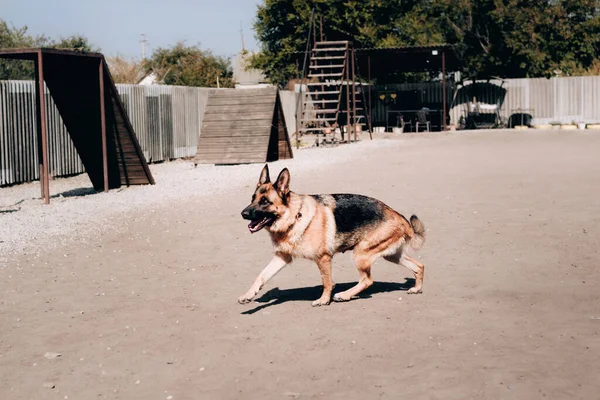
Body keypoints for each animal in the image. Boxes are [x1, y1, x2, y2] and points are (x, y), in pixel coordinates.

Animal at [239, 165, 426, 306]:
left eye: (265, 202)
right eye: (253, 198)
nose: (243, 213)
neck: (294, 216)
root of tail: (399, 217)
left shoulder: (323, 258)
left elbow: (327, 282)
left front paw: (323, 300)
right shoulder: (282, 257)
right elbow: (262, 275)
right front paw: (248, 294)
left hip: (360, 254)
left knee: (367, 280)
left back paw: (344, 295)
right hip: (391, 255)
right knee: (419, 266)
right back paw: (417, 288)